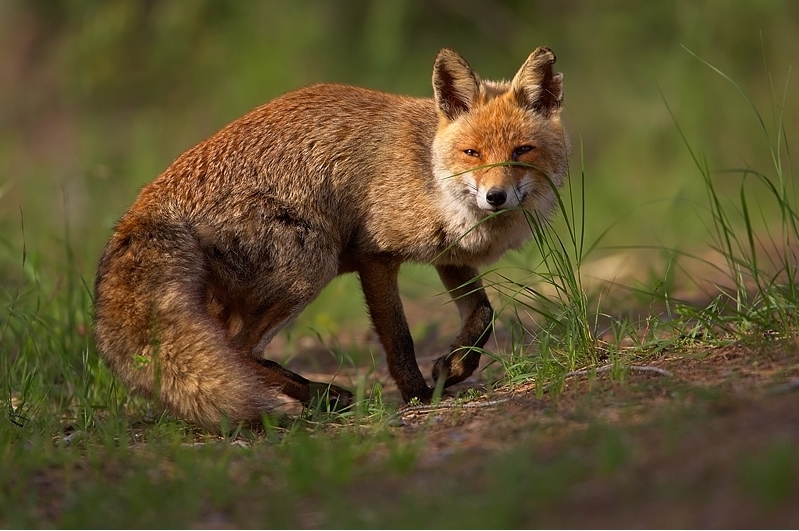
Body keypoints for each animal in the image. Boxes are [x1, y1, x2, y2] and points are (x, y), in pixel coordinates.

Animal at [93, 47, 569, 432]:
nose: (495, 197)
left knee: (228, 349)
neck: (429, 173)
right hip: (311, 265)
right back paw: (320, 396)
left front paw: (453, 366)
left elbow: (483, 314)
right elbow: (399, 339)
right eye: (472, 153)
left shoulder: (448, 253)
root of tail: (146, 202)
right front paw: (418, 394)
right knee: (238, 350)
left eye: (522, 151)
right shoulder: (375, 255)